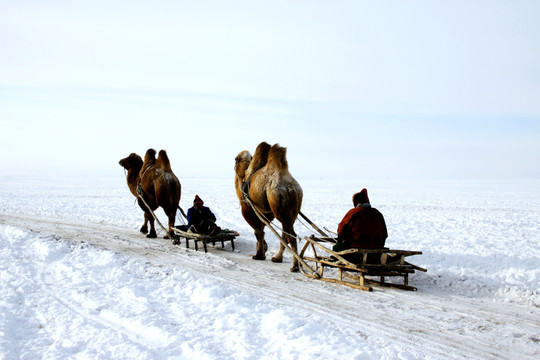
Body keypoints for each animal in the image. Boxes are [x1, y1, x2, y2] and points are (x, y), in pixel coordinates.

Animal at [235, 142, 306, 272]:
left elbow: (258, 231)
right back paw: (278, 258)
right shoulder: (267, 212)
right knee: (285, 235)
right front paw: (263, 250)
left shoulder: (248, 208)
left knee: (291, 236)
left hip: (279, 205)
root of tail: (291, 189)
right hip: (292, 210)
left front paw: (259, 255)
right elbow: (262, 229)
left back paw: (295, 266)